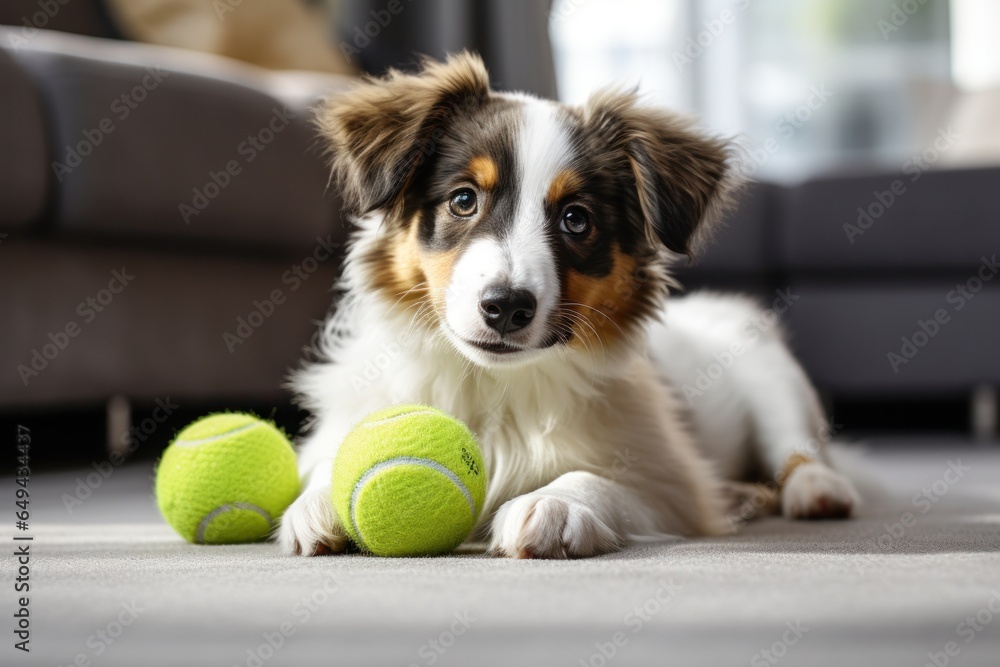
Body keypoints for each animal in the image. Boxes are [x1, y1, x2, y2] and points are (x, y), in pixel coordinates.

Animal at [276, 53, 860, 560]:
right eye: (463, 199)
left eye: (576, 219)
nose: (505, 307)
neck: (493, 385)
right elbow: (328, 460)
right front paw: (321, 502)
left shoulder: (676, 486)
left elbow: (597, 478)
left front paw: (553, 503)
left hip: (772, 376)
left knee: (797, 448)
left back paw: (817, 491)